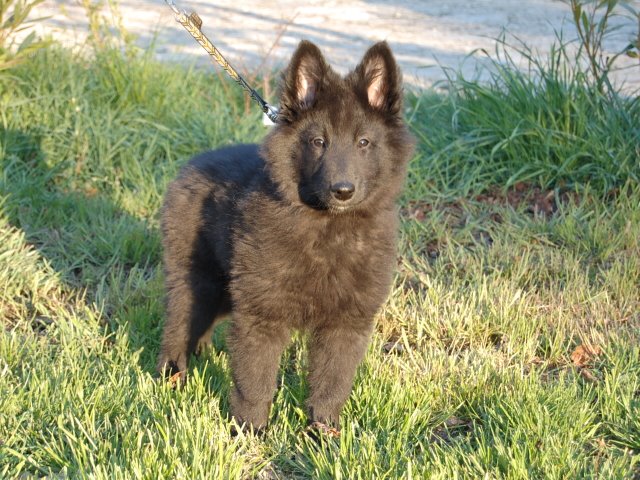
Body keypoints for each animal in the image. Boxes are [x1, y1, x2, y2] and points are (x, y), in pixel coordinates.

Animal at [158, 41, 412, 432]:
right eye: (318, 141)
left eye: (364, 142)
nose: (343, 190)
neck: (327, 232)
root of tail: (193, 163)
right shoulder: (261, 314)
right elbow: (255, 382)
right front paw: (249, 432)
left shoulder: (346, 323)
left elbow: (331, 384)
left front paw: (323, 434)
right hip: (198, 281)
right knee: (178, 324)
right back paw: (170, 378)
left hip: (226, 288)